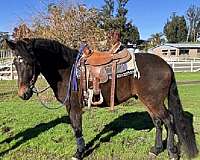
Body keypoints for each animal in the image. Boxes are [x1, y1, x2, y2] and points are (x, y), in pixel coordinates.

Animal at [5, 38, 198, 159]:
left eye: (29, 62)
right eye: (15, 63)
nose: (23, 93)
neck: (68, 70)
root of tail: (166, 65)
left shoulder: (74, 106)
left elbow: (77, 128)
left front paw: (79, 153)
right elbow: (75, 127)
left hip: (154, 101)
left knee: (169, 120)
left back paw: (172, 152)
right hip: (148, 101)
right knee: (158, 122)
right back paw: (156, 149)